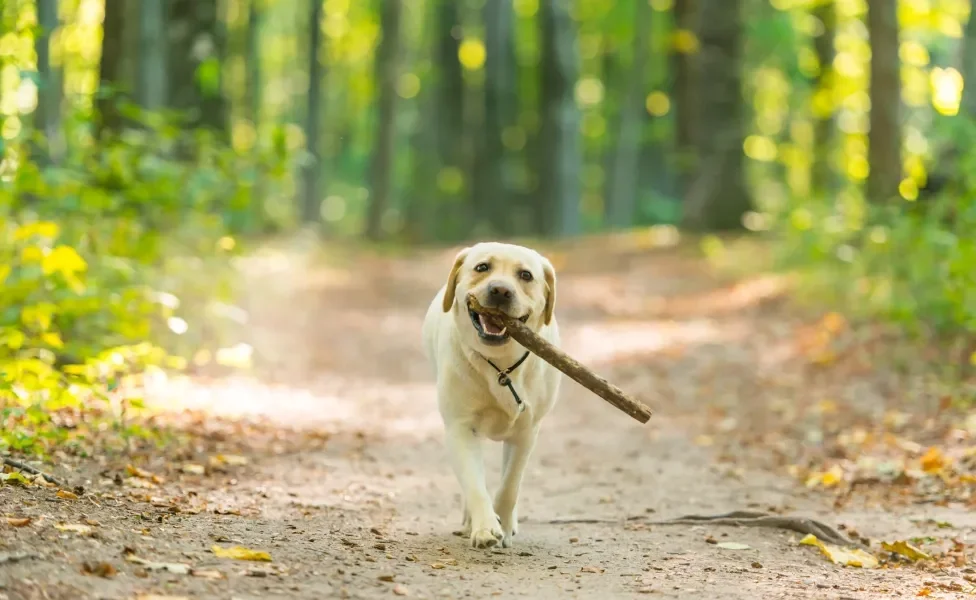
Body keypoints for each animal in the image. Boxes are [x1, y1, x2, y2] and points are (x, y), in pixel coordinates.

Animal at [422, 241, 564, 548]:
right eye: (482, 267)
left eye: (525, 275)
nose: (500, 290)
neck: (501, 366)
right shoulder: (460, 428)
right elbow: (475, 485)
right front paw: (486, 527)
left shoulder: (526, 432)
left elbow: (510, 484)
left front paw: (505, 524)